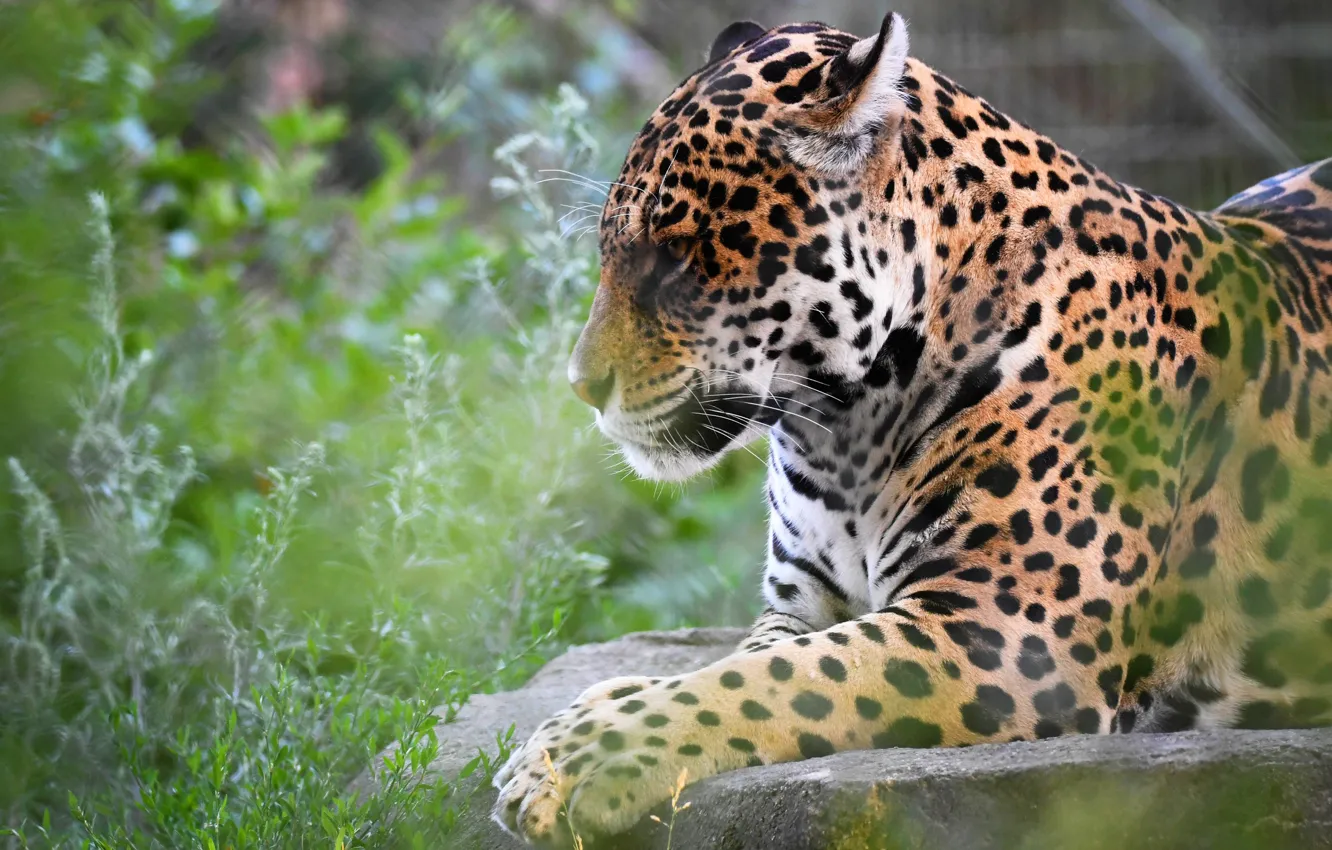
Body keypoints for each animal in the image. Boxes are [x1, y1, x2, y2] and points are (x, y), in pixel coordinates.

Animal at [494, 11, 1332, 846]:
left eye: (675, 259)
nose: (581, 384)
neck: (839, 431)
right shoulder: (799, 604)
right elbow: (736, 665)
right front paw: (581, 723)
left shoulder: (1005, 636)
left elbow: (773, 679)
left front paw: (582, 755)